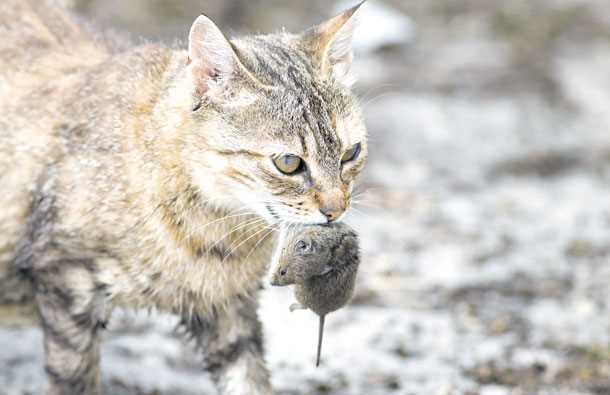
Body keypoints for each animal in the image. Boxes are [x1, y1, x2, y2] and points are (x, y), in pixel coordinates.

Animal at [0, 0, 366, 395]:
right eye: (288, 163)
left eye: (351, 153)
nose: (336, 209)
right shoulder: (66, 281)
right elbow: (74, 379)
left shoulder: (228, 306)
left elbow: (248, 379)